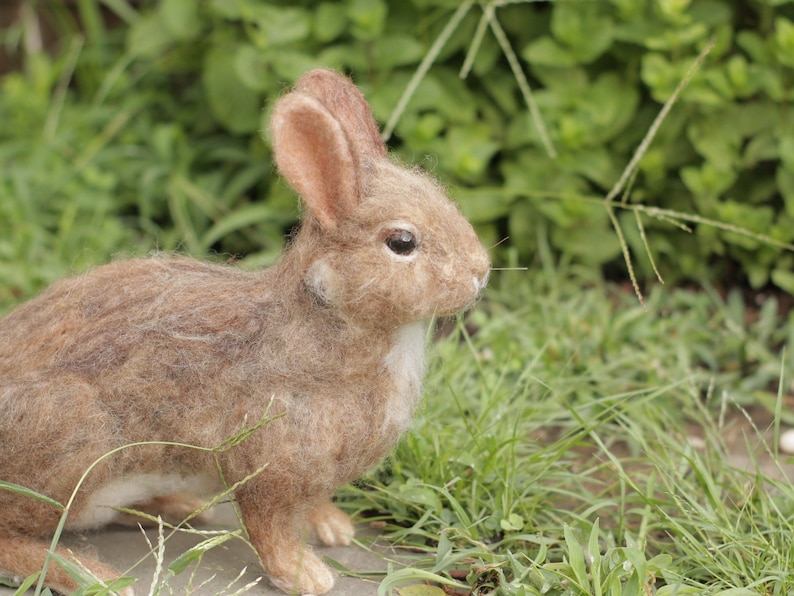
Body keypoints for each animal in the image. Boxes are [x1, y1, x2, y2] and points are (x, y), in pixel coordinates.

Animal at [0, 67, 488, 592]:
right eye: (401, 242)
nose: (481, 271)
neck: (326, 319)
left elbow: (311, 504)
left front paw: (336, 529)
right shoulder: (268, 463)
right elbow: (268, 526)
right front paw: (306, 575)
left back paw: (179, 509)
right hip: (70, 443)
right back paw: (91, 574)